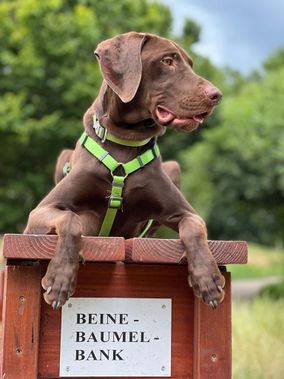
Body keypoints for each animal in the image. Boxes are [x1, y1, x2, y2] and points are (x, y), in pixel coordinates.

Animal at [25, 32, 224, 310]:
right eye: (168, 61)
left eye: (190, 64)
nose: (217, 95)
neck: (124, 142)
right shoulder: (40, 213)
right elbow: (71, 220)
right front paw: (60, 280)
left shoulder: (184, 212)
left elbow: (195, 225)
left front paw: (208, 279)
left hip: (173, 168)